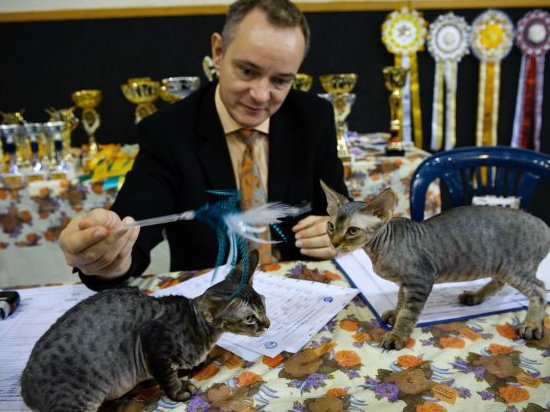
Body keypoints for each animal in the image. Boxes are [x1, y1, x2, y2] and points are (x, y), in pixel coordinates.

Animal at [20, 249, 270, 410]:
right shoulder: (152, 342)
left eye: (264, 305)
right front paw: (179, 391)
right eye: (250, 318)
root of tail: (25, 387)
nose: (268, 324)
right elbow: (168, 378)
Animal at [322, 182, 548, 350]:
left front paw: (397, 335)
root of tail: (543, 224)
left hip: (514, 267)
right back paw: (475, 296)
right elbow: (401, 300)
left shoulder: (420, 281)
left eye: (352, 231)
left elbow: (408, 313)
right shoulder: (406, 283)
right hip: (500, 265)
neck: (379, 250)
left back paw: (531, 324)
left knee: (539, 289)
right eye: (331, 226)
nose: (334, 243)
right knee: (501, 281)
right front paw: (395, 314)